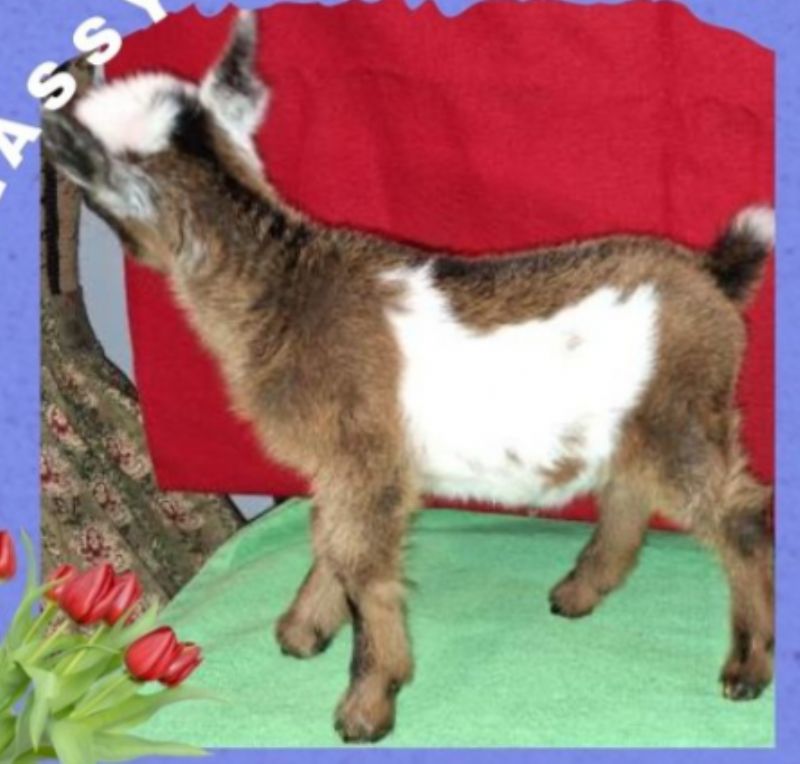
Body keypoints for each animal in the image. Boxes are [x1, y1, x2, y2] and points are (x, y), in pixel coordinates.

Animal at [42, 12, 774, 743]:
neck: (283, 282)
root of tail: (714, 274)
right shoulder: (342, 467)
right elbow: (330, 542)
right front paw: (303, 633)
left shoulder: (364, 458)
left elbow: (363, 566)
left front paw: (367, 704)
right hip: (637, 422)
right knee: (629, 495)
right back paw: (578, 594)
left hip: (684, 414)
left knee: (740, 518)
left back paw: (747, 668)